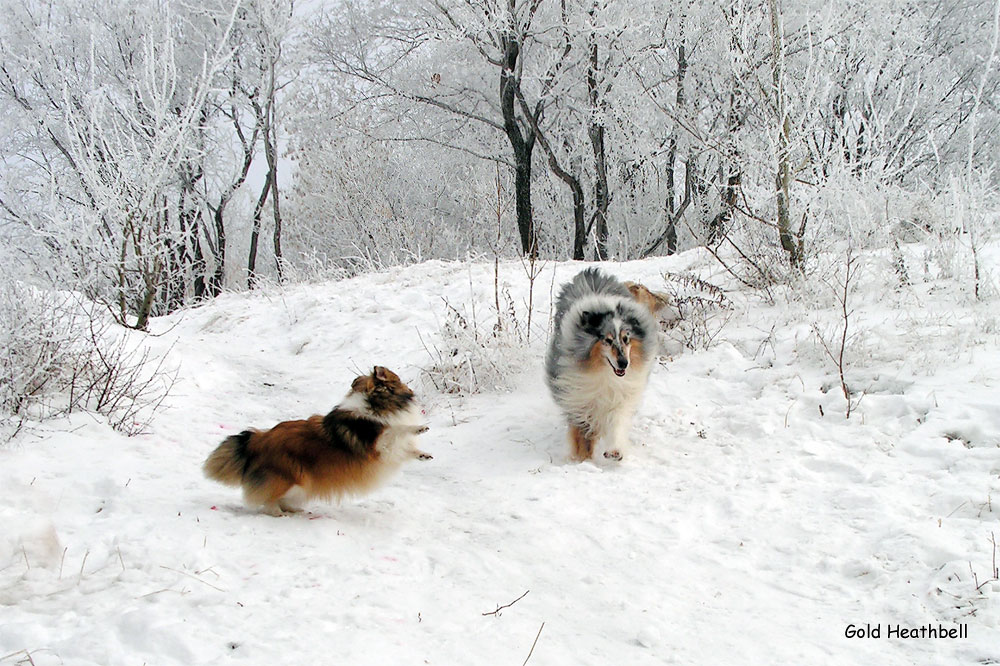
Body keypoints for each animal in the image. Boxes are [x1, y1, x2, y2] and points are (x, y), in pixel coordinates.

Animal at [203, 364, 430, 512]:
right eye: (397, 379)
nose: (411, 389)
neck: (376, 403)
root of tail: (256, 440)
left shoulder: (388, 451)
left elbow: (405, 448)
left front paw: (423, 454)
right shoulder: (377, 442)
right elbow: (397, 429)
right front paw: (419, 428)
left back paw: (294, 510)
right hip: (290, 477)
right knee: (267, 500)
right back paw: (278, 513)